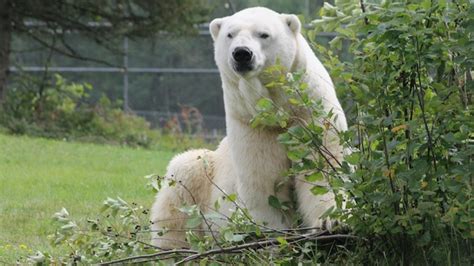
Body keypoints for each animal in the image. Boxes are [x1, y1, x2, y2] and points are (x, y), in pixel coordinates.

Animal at [150, 7, 346, 248]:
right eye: (230, 34)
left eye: (263, 34)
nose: (242, 53)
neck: (277, 112)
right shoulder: (251, 124)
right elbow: (263, 183)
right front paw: (270, 235)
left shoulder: (311, 113)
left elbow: (323, 168)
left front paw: (331, 223)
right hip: (203, 174)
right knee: (181, 185)